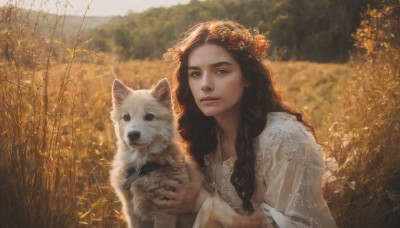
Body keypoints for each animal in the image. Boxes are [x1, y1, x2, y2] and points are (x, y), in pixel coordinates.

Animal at [109, 77, 197, 227]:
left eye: (149, 117)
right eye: (126, 117)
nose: (132, 135)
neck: (141, 167)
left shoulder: (164, 214)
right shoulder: (132, 213)